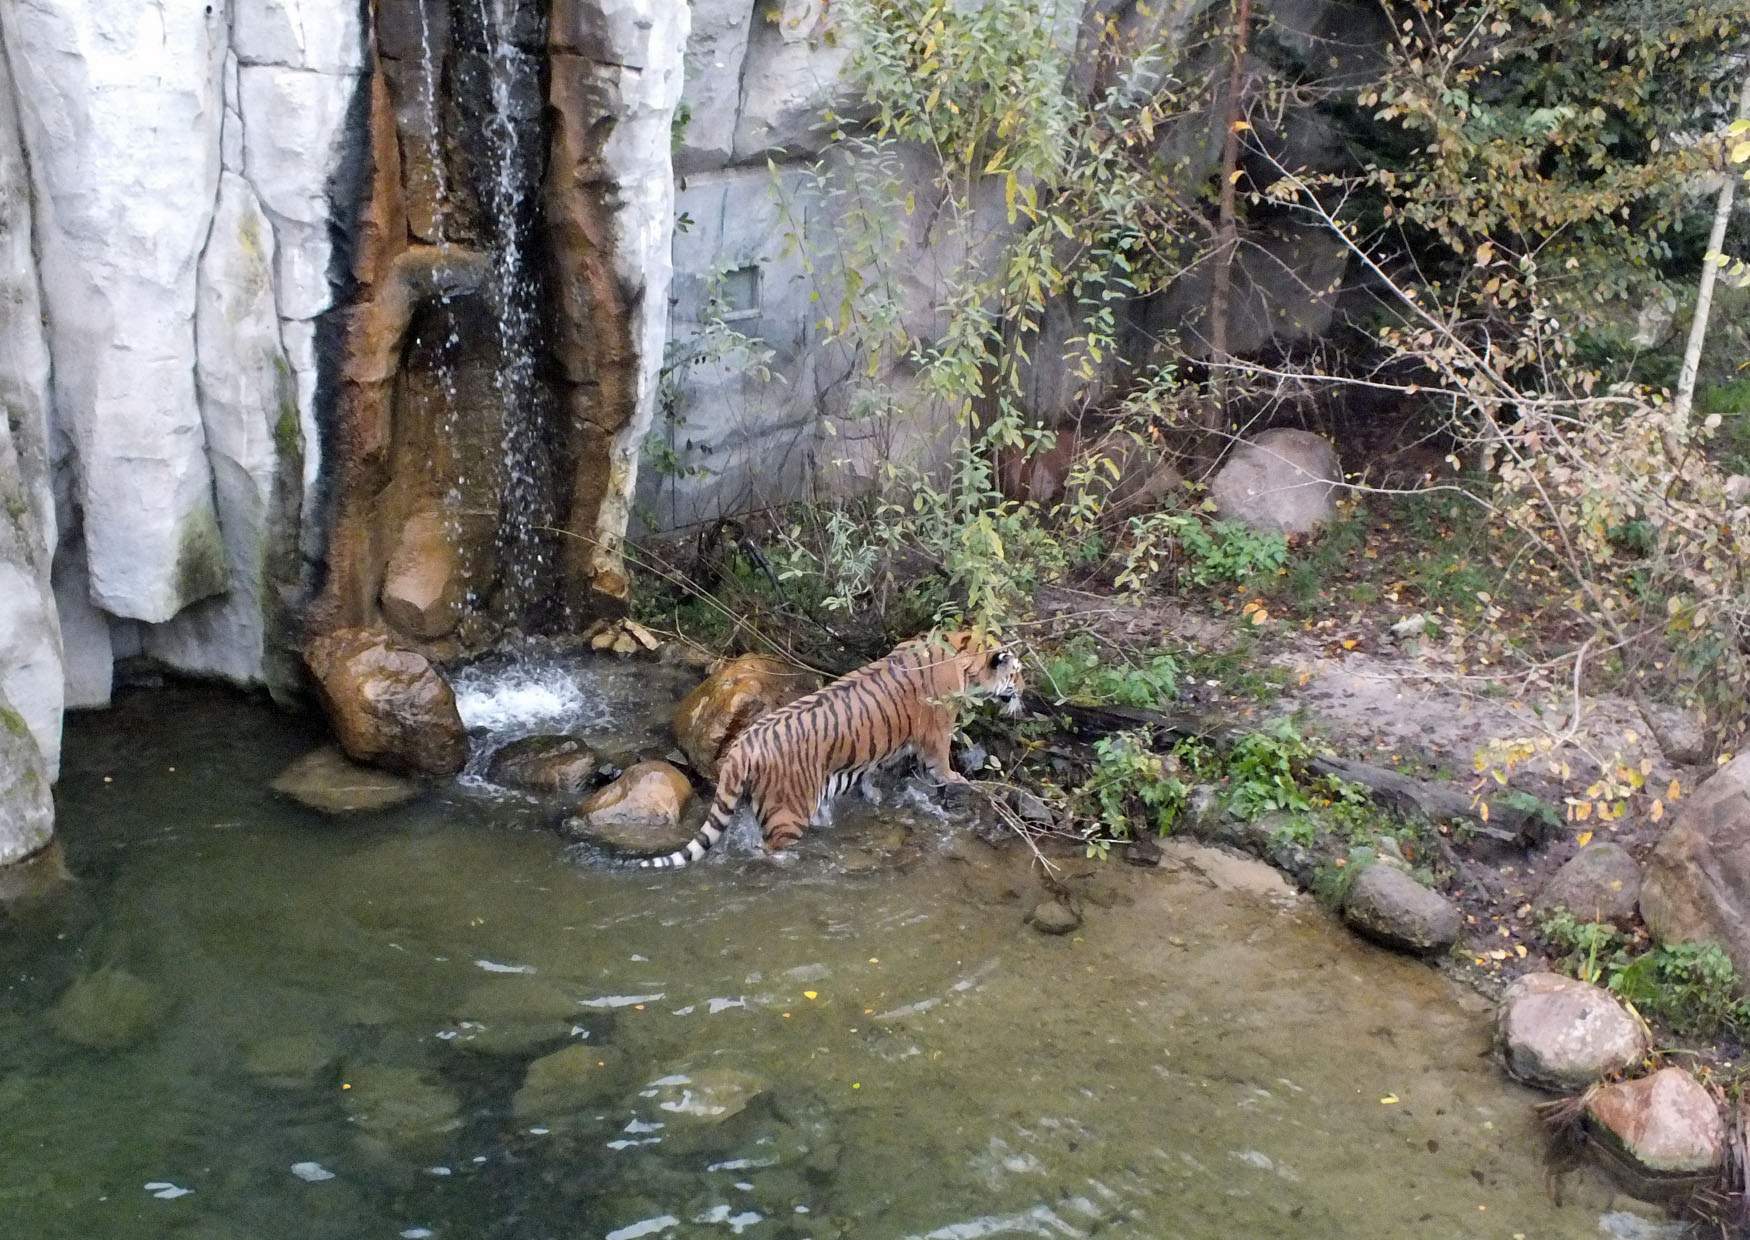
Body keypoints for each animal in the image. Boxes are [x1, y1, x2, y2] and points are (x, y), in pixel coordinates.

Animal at [644, 633, 1022, 867]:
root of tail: (744, 744)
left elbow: (874, 768)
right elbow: (942, 766)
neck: (962, 653)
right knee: (768, 848)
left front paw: (873, 794)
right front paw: (960, 782)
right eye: (1017, 673)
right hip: (788, 812)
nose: (1026, 693)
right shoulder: (937, 733)